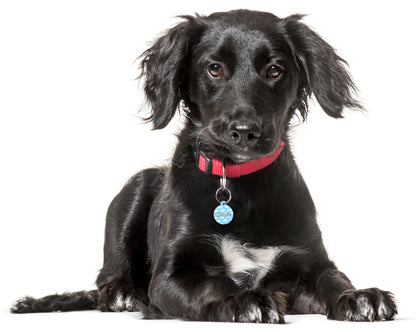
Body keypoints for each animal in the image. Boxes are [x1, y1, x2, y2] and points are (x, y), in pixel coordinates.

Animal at [11, 9, 398, 322]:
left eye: (275, 70)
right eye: (214, 68)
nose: (244, 131)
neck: (238, 184)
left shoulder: (307, 260)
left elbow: (332, 279)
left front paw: (359, 296)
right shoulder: (169, 277)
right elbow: (215, 284)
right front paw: (246, 300)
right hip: (136, 186)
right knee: (108, 276)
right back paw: (122, 293)